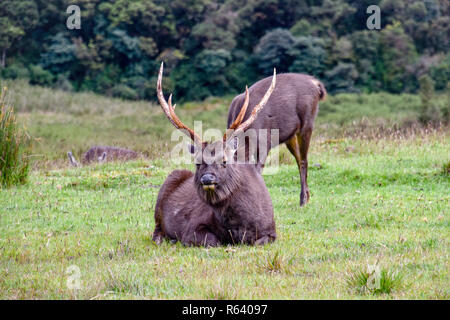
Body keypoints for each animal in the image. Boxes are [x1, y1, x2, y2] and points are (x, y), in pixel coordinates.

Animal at [153, 63, 276, 248]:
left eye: (224, 161)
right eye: (197, 162)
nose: (207, 178)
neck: (239, 225)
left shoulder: (271, 231)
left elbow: (259, 241)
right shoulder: (191, 228)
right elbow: (214, 241)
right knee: (156, 232)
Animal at [227, 73, 326, 208]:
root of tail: (316, 84)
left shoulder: (265, 144)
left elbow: (258, 172)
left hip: (307, 123)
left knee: (304, 160)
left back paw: (303, 200)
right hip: (290, 135)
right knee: (299, 158)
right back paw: (307, 196)